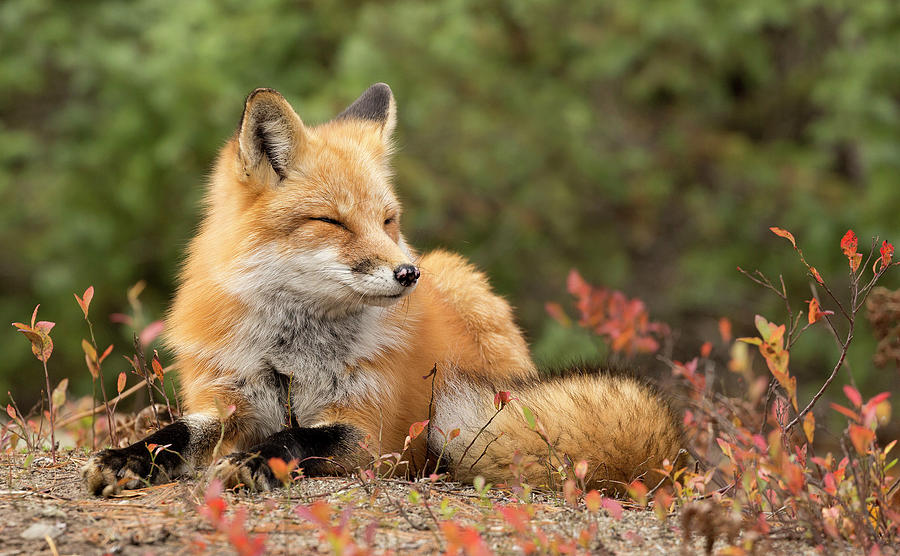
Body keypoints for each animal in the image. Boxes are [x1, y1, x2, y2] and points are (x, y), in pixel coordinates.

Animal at [82, 83, 684, 496]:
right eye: (332, 222)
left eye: (388, 220)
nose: (408, 274)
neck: (288, 356)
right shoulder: (226, 400)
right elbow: (176, 432)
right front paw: (129, 456)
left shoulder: (373, 435)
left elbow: (304, 438)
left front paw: (260, 461)